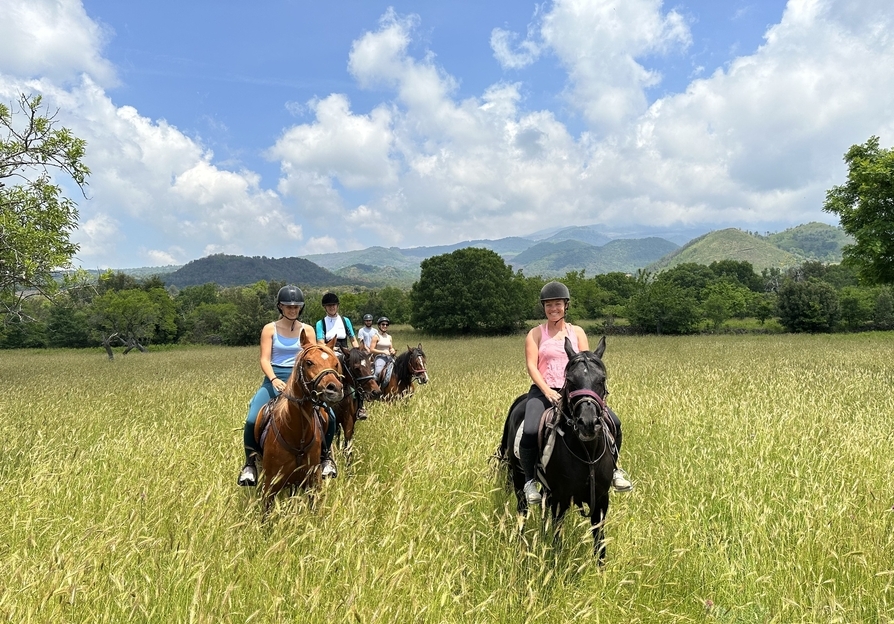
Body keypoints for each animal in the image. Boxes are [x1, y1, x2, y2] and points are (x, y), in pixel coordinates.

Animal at [256, 334, 346, 510]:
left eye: (335, 363)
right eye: (309, 362)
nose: (335, 389)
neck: (297, 434)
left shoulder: (314, 482)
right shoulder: (270, 486)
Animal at [500, 336, 620, 560]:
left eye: (602, 379)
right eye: (571, 381)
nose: (588, 423)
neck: (586, 454)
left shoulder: (601, 500)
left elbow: (600, 545)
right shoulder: (560, 501)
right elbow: (557, 541)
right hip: (519, 480)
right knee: (522, 511)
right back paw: (521, 546)